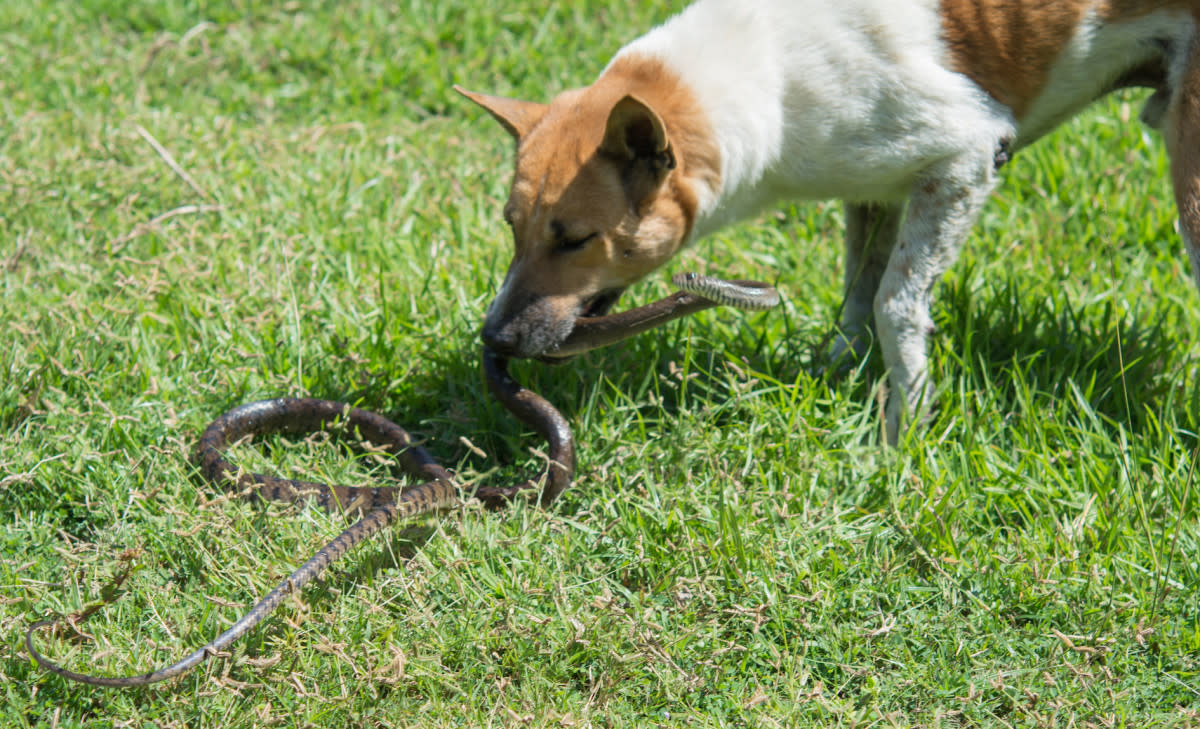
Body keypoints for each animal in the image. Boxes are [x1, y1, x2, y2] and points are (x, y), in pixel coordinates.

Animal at [456, 0, 1200, 441]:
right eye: (510, 227)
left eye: (576, 240)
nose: (495, 337)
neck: (765, 77)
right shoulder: (876, 189)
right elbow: (855, 299)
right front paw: (834, 376)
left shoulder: (965, 156)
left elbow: (895, 303)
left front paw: (903, 434)